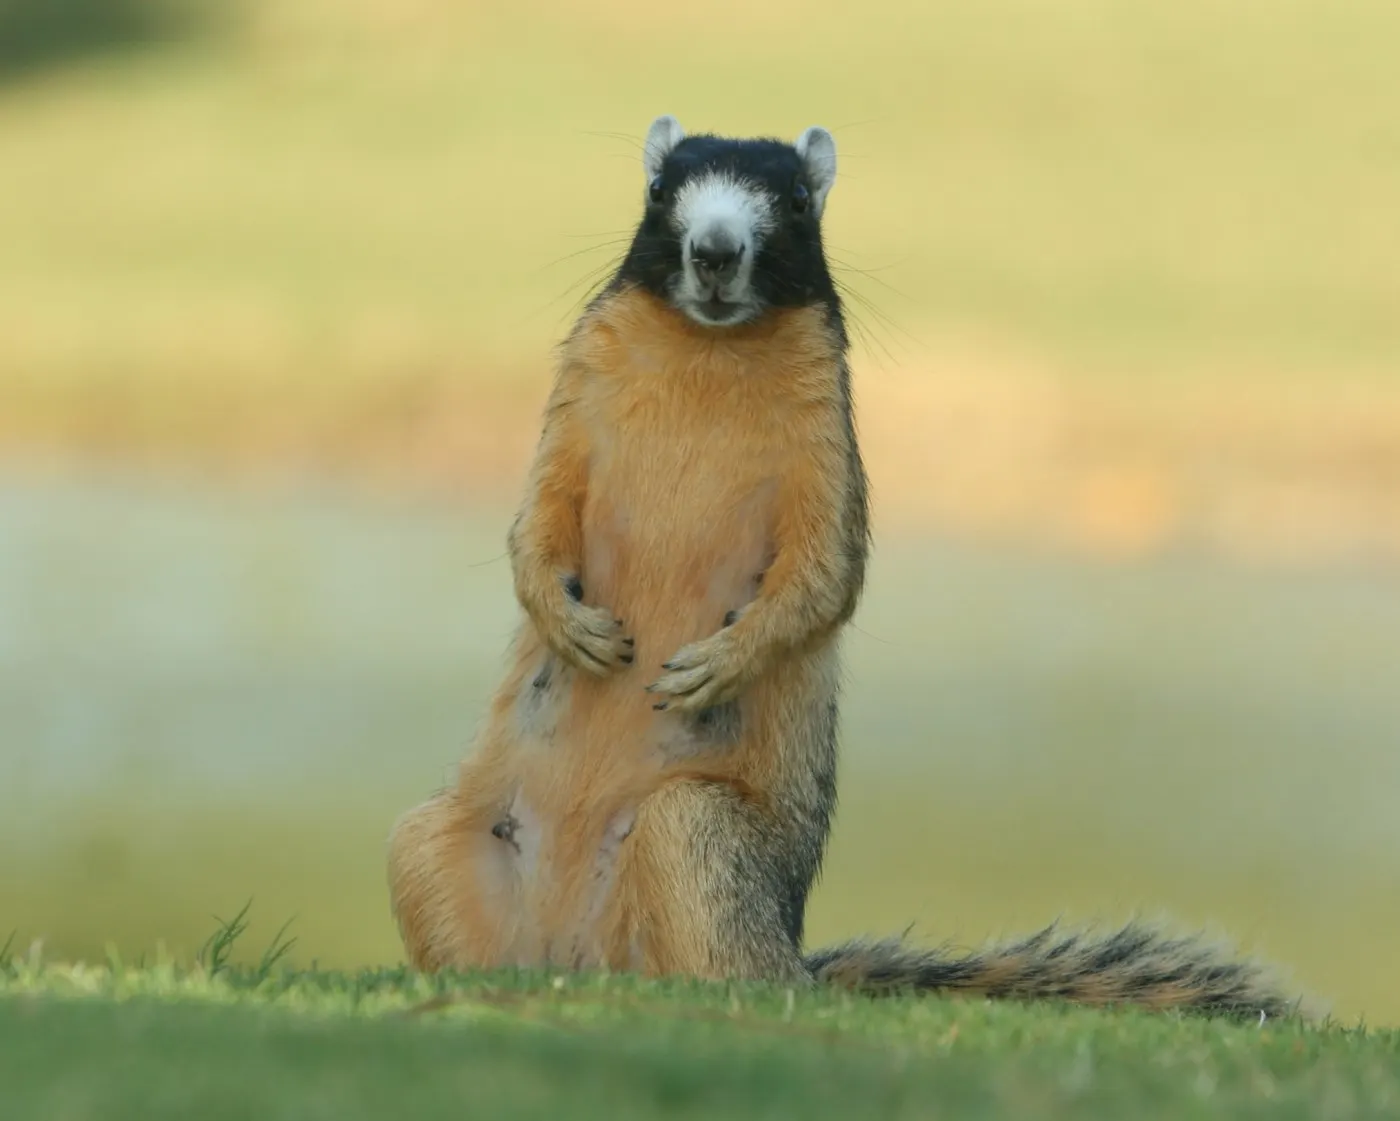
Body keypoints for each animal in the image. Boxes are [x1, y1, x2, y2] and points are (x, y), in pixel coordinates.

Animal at [386, 115, 1304, 1021]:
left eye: (797, 198)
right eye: (656, 189)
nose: (714, 251)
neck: (706, 354)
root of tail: (577, 962)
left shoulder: (829, 452)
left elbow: (826, 576)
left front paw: (720, 663)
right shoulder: (571, 412)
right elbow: (532, 529)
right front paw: (567, 623)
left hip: (694, 831)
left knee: (742, 970)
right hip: (425, 843)